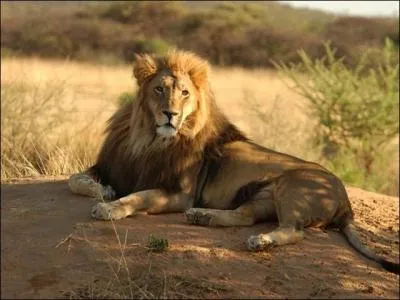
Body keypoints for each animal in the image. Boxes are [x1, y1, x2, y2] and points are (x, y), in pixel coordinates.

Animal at [70, 49, 398, 274]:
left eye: (185, 93)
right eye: (159, 89)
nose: (170, 114)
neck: (148, 139)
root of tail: (346, 202)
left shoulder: (180, 193)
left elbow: (139, 196)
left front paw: (109, 208)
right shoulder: (113, 167)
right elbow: (76, 180)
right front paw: (104, 192)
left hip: (292, 185)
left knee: (295, 230)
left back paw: (260, 241)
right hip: (263, 197)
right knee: (244, 216)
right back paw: (203, 216)